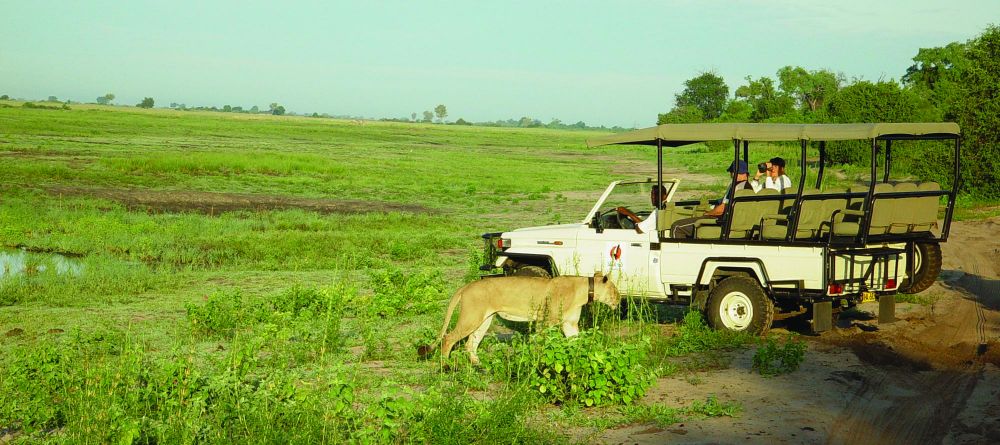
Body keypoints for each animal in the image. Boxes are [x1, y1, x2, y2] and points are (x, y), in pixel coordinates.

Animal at [436, 270, 616, 364]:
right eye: (614, 290)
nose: (619, 300)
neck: (583, 291)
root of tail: (467, 286)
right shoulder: (544, 320)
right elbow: (542, 344)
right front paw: (538, 363)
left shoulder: (569, 324)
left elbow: (576, 343)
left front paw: (582, 359)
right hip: (471, 317)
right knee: (448, 338)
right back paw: (446, 366)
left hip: (484, 319)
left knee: (470, 344)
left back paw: (478, 366)